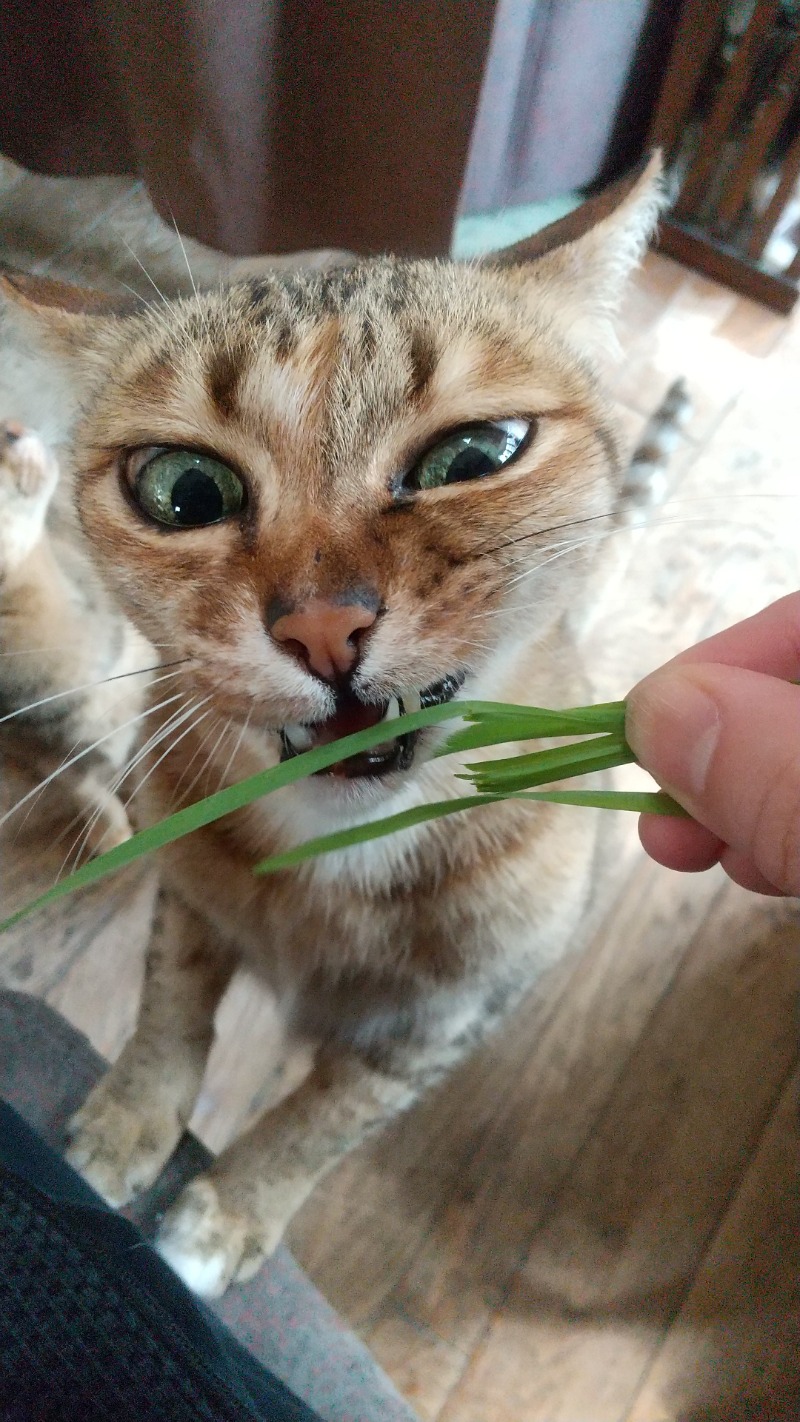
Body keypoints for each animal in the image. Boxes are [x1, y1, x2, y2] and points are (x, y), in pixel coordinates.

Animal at [0, 152, 667, 1302]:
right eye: (183, 489)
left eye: (474, 454)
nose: (321, 625)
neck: (332, 854)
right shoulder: (191, 904)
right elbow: (169, 1013)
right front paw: (130, 1122)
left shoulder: (436, 1029)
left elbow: (324, 1119)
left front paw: (227, 1213)